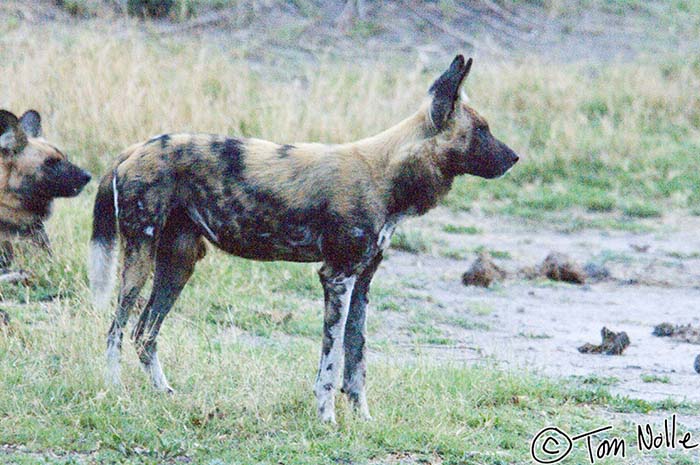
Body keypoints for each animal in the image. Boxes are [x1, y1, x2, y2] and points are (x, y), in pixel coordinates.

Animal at [90, 56, 520, 422]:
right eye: (482, 131)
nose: (515, 158)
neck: (387, 175)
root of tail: (133, 149)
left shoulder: (361, 283)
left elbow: (356, 360)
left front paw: (362, 419)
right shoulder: (337, 278)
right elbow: (330, 364)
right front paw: (326, 419)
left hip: (179, 264)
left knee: (144, 334)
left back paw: (164, 393)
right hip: (139, 260)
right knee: (116, 329)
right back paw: (115, 391)